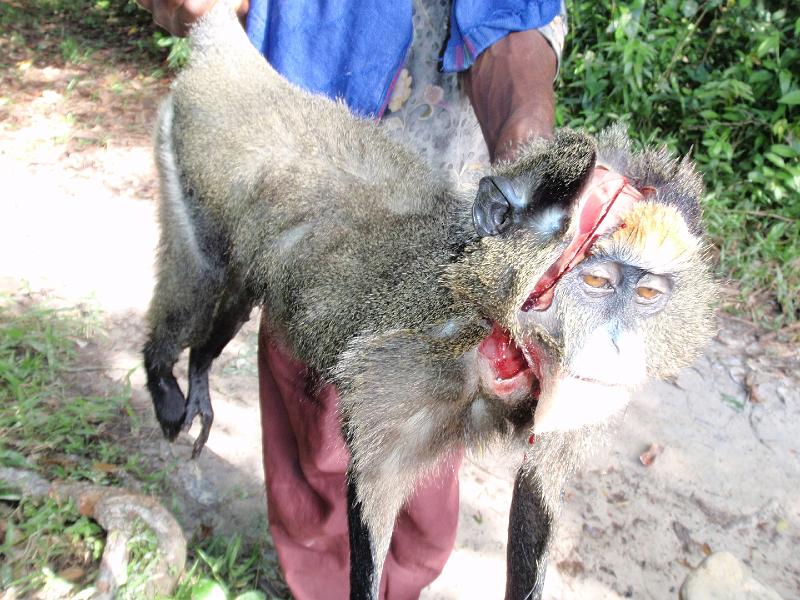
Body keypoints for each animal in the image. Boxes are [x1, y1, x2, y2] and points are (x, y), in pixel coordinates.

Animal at [142, 3, 717, 599]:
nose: (617, 347)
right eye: (598, 282)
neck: (496, 331)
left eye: (646, 293)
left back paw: (200, 369)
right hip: (186, 162)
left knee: (234, 295)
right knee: (201, 277)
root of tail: (240, 70)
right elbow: (374, 490)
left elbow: (536, 496)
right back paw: (161, 370)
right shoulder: (404, 366)